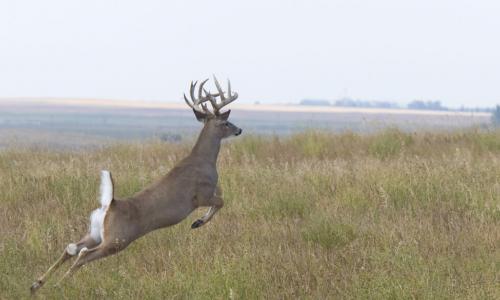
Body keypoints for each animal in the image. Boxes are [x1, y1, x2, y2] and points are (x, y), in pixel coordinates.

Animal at [30, 76, 242, 294]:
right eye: (226, 122)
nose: (239, 130)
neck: (204, 160)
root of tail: (110, 204)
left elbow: (221, 196)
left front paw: (197, 222)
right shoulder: (201, 195)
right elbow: (221, 201)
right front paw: (197, 222)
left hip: (95, 233)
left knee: (70, 248)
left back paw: (36, 284)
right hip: (117, 240)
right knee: (82, 254)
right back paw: (57, 286)